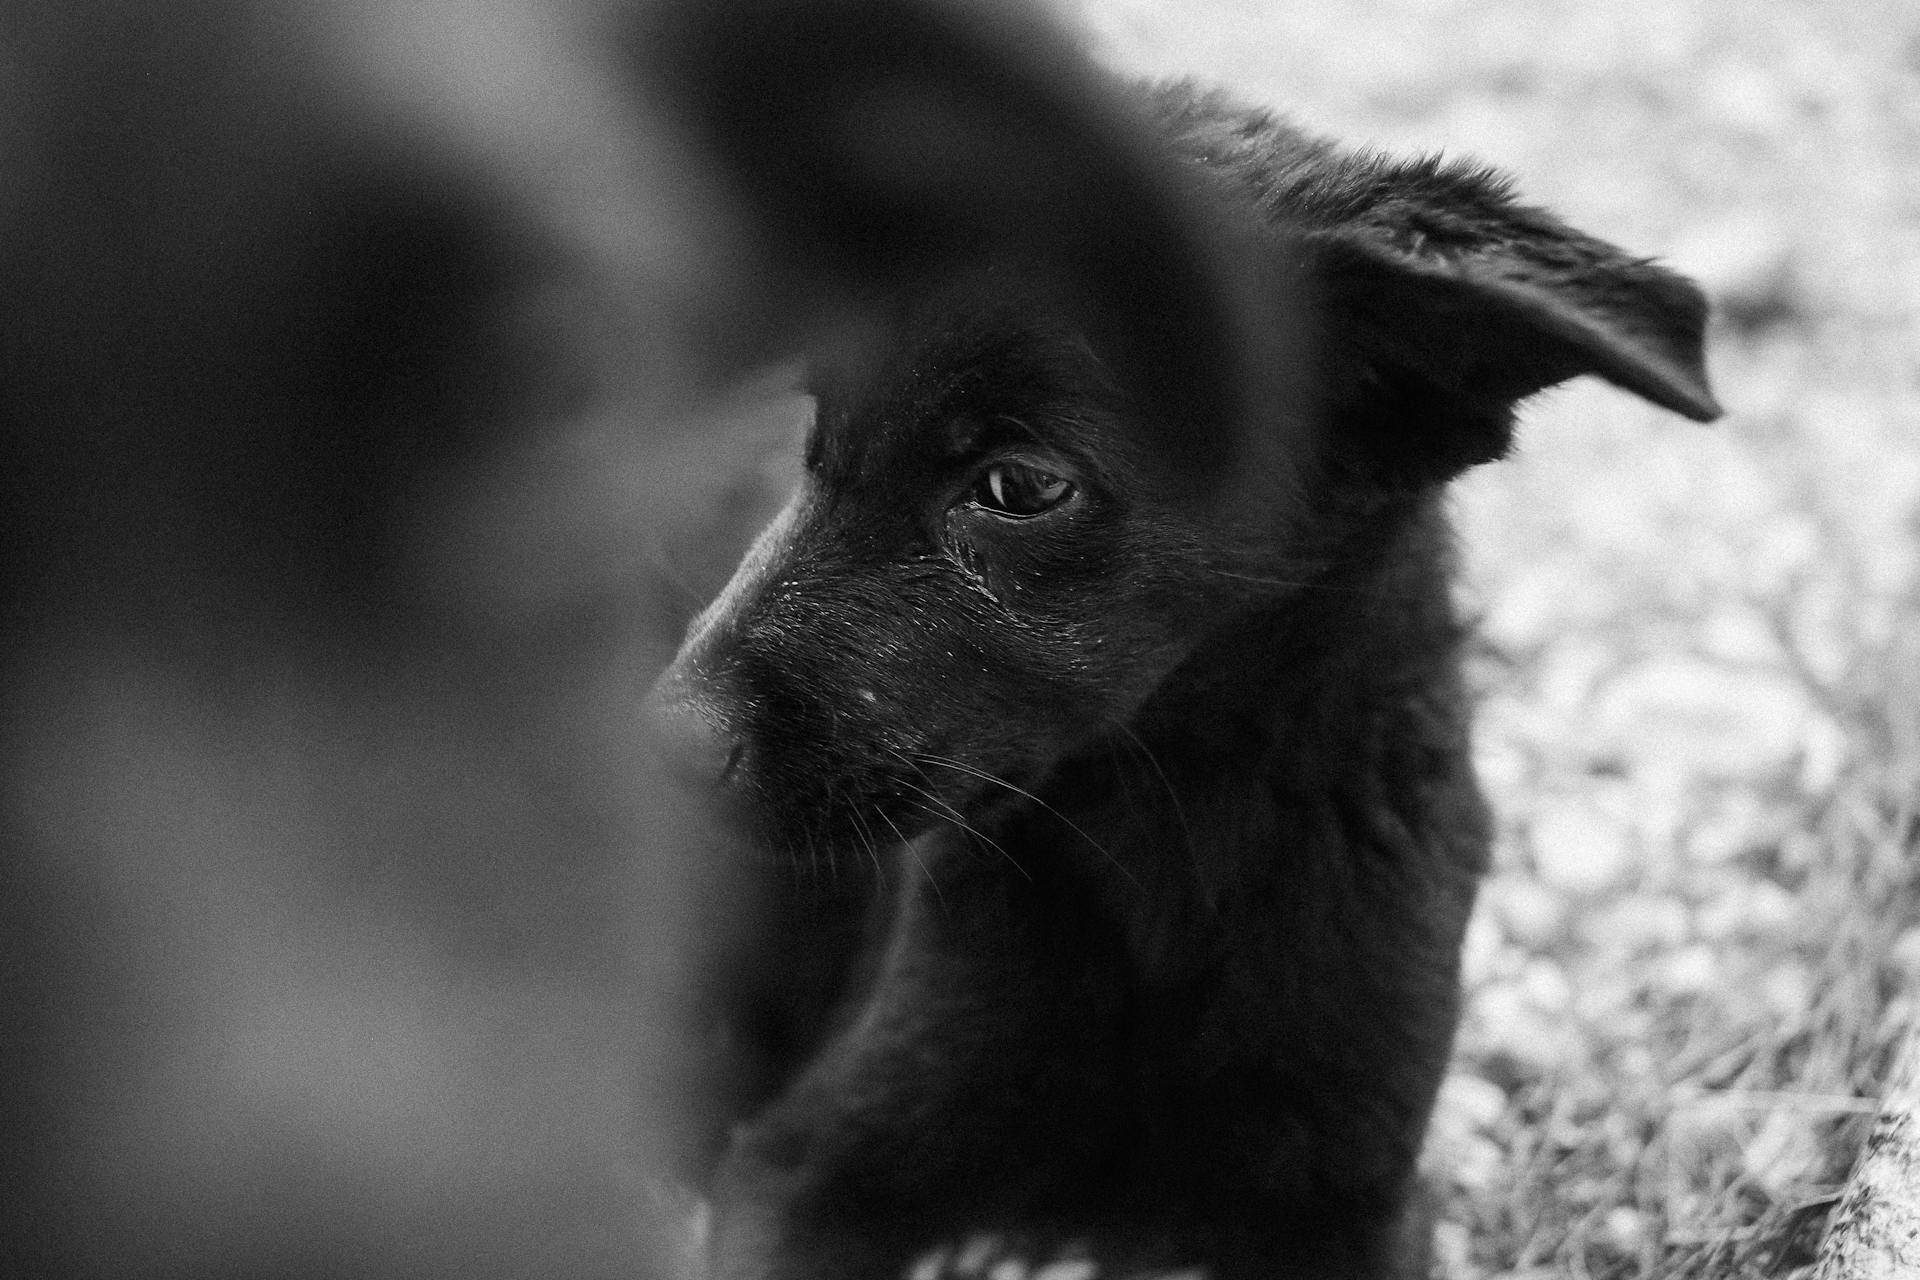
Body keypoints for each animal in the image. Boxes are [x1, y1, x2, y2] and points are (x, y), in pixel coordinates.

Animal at [652, 82, 1720, 1280]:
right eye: (818, 431)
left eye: (1022, 485)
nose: (662, 744)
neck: (1172, 841)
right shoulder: (805, 1163)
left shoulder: (1350, 1195)